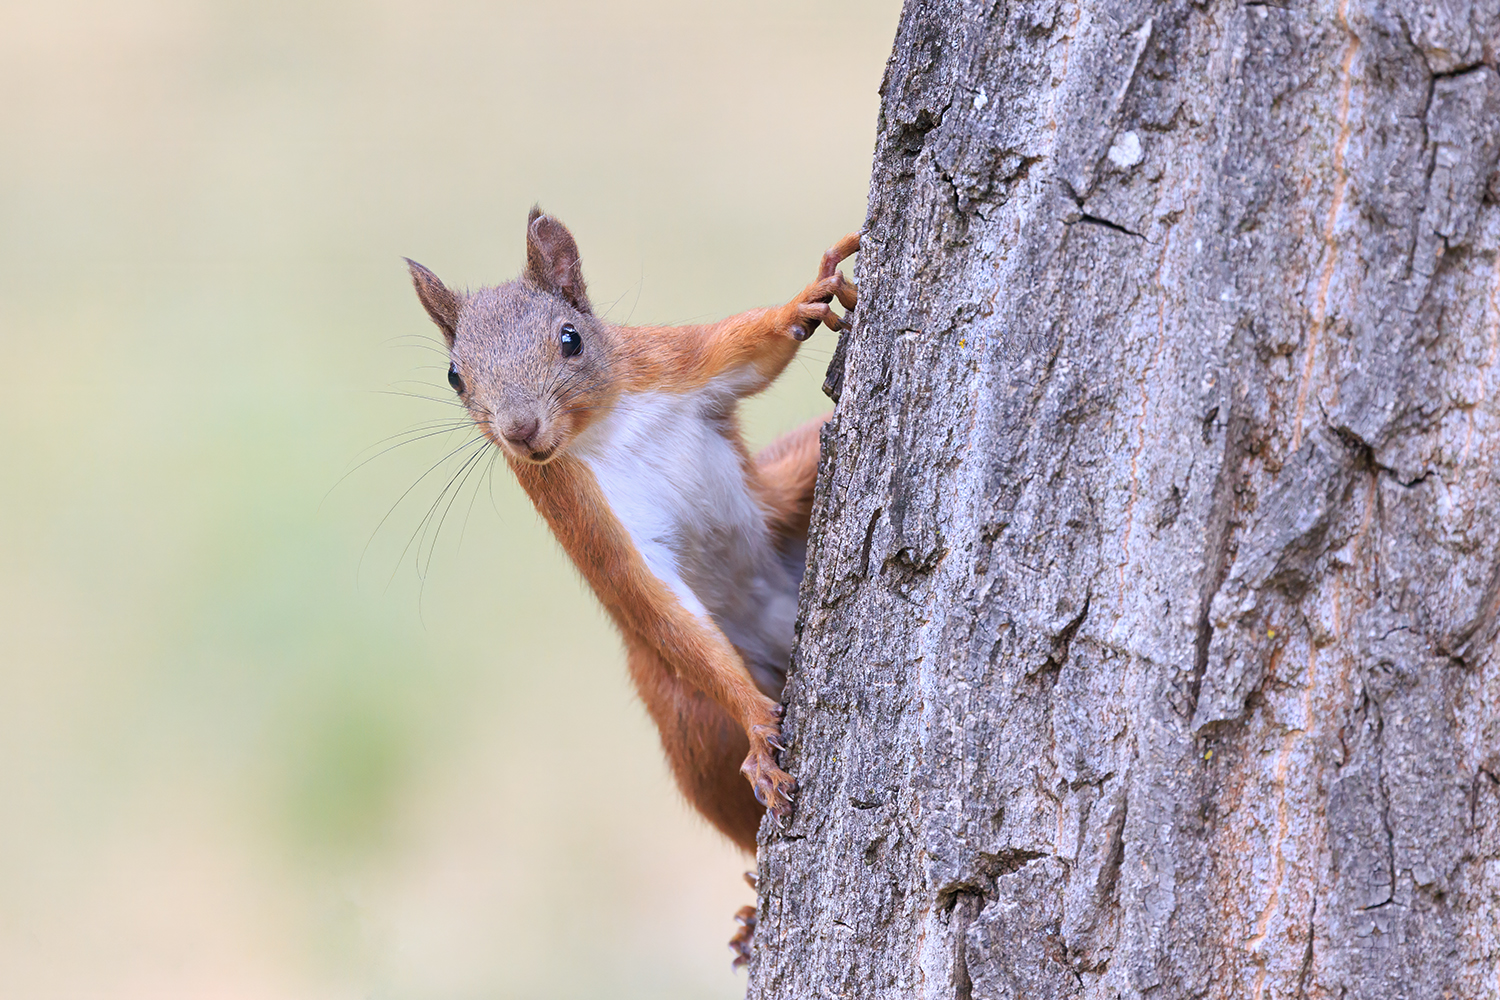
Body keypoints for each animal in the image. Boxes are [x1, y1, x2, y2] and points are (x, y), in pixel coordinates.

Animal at [405, 208, 858, 867]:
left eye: (571, 338)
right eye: (454, 376)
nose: (521, 431)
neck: (604, 427)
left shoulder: (671, 361)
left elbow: (751, 348)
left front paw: (810, 294)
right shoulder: (585, 516)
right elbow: (652, 601)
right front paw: (756, 724)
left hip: (785, 493)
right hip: (683, 712)